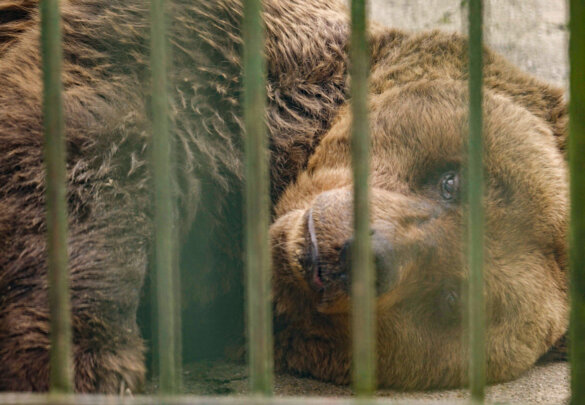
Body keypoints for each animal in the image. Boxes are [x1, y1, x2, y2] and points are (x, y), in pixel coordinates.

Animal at [0, 0, 568, 393]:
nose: (362, 255)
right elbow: (97, 142)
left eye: (450, 301)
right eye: (452, 182)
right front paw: (87, 359)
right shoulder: (221, 49)